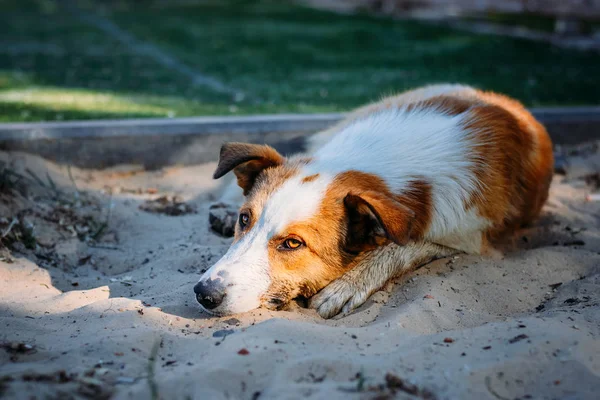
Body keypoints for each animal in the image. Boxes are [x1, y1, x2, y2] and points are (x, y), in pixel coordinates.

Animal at [193, 84, 552, 318]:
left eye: (293, 244)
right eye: (245, 219)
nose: (204, 294)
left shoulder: (473, 239)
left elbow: (405, 245)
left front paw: (349, 284)